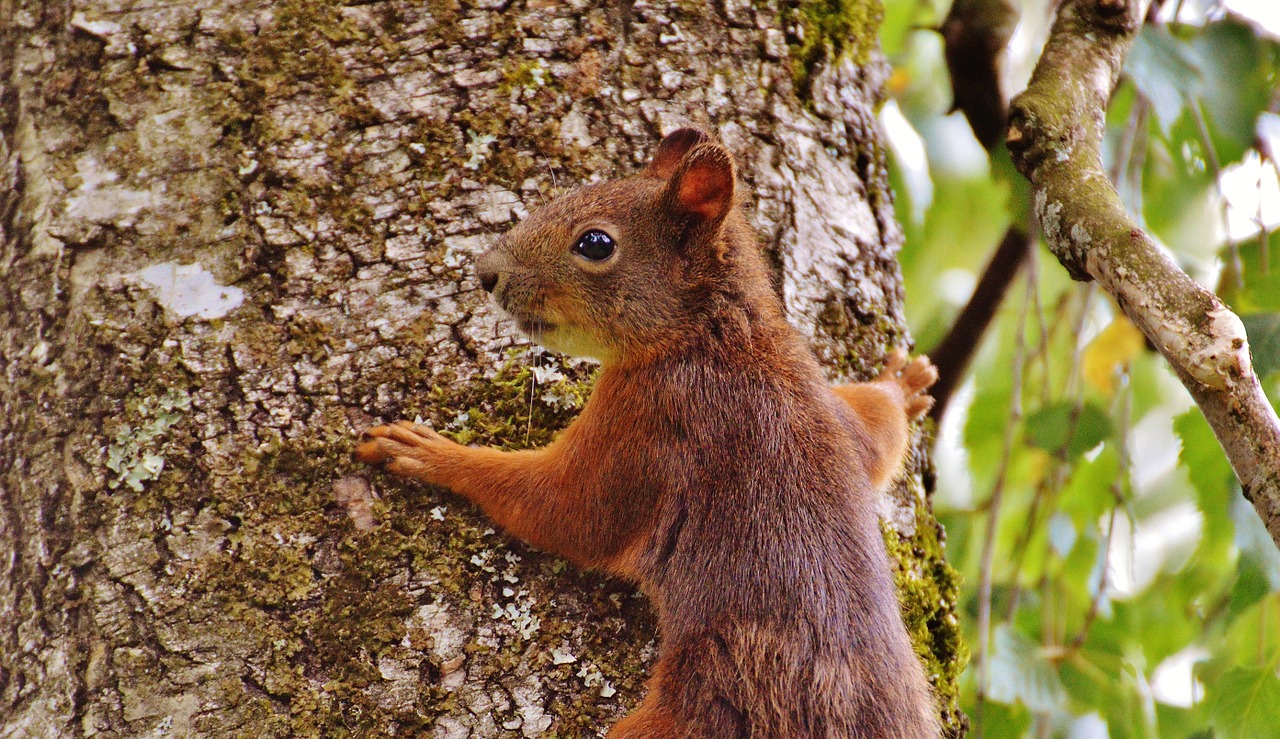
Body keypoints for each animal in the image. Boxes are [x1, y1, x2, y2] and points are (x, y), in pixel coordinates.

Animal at [358, 128, 942, 737]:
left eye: (595, 244)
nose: (485, 273)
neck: (717, 330)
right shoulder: (831, 409)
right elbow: (876, 433)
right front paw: (903, 385)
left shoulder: (648, 419)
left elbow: (566, 511)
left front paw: (431, 453)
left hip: (699, 707)